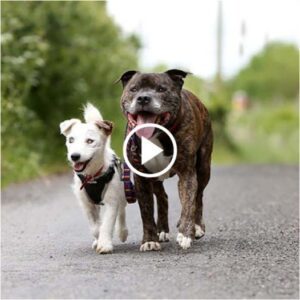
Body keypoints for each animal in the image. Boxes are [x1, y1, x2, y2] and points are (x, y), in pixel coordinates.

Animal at [59, 103, 127, 253]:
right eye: (71, 140)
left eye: (90, 141)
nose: (74, 156)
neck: (92, 176)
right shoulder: (86, 204)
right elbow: (95, 227)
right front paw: (98, 238)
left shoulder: (112, 200)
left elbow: (107, 223)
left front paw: (104, 244)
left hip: (122, 193)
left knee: (122, 211)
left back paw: (122, 231)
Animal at [117, 69, 213, 250]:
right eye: (134, 89)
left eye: (161, 89)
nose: (143, 98)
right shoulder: (141, 178)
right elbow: (146, 211)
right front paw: (149, 240)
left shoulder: (187, 174)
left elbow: (189, 202)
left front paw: (186, 233)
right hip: (155, 178)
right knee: (163, 198)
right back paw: (162, 230)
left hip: (204, 167)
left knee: (198, 196)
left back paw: (197, 226)